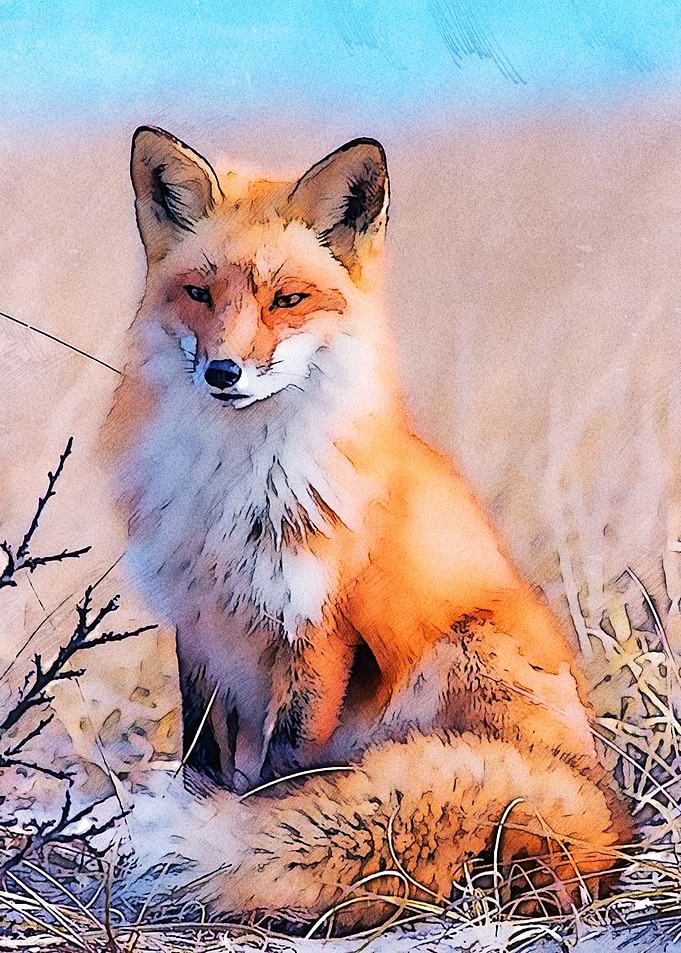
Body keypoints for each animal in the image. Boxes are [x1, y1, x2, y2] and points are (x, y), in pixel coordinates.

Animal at [103, 125, 633, 931]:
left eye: (287, 300)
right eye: (199, 294)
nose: (222, 372)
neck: (235, 488)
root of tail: (604, 810)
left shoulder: (317, 625)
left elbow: (282, 774)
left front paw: (245, 840)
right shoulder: (198, 623)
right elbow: (201, 758)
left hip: (461, 652)